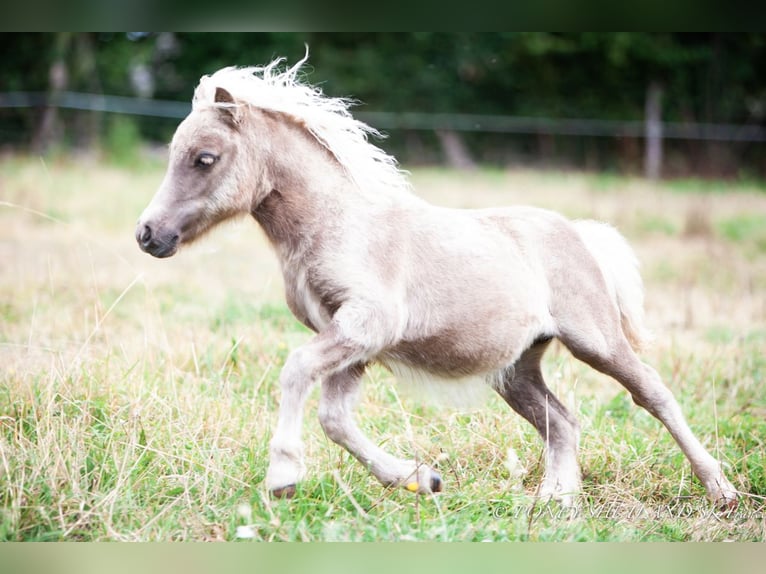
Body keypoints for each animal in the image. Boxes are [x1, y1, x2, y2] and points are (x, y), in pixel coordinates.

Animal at [136, 57, 736, 508]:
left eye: (204, 157)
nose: (148, 235)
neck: (336, 224)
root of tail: (579, 233)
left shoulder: (366, 324)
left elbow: (297, 371)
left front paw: (283, 475)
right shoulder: (353, 340)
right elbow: (335, 418)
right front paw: (420, 479)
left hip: (596, 339)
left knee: (651, 392)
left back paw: (720, 489)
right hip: (516, 368)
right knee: (561, 421)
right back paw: (555, 503)